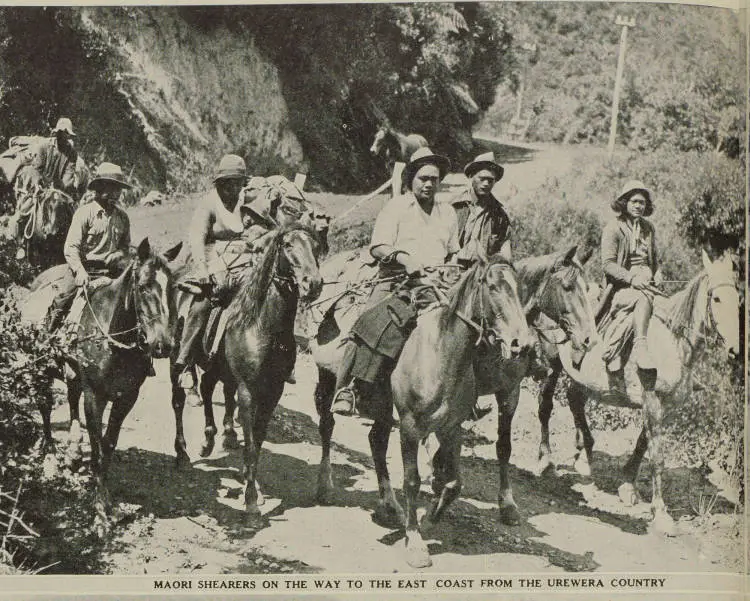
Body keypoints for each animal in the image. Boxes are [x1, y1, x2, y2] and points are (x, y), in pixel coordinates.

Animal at [28, 237, 177, 532]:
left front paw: (109, 505)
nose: (163, 345)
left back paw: (72, 451)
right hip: (41, 368)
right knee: (45, 405)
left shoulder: (126, 397)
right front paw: (99, 513)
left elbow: (108, 445)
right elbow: (97, 449)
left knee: (70, 399)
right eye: (143, 287)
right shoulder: (95, 395)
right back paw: (50, 451)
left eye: (172, 289)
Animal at [169, 221, 324, 516]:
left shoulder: (272, 392)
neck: (262, 326)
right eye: (288, 245)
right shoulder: (247, 390)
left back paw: (208, 441)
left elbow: (258, 442)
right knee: (179, 401)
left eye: (316, 245)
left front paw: (253, 486)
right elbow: (251, 442)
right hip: (176, 361)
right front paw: (251, 497)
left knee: (207, 388)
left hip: (217, 368)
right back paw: (182, 454)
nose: (313, 283)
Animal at [556, 250, 744, 536]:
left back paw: (583, 456)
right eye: (717, 298)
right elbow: (657, 458)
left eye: (738, 299)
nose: (736, 349)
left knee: (574, 400)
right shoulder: (652, 399)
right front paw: (661, 514)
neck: (674, 343)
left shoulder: (665, 406)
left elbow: (643, 444)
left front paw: (627, 485)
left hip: (583, 380)